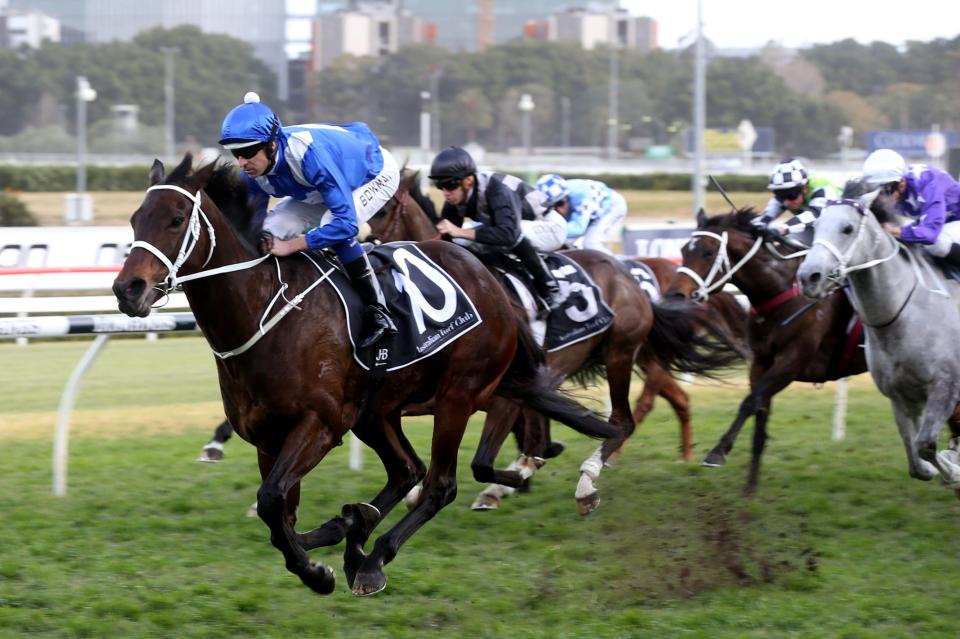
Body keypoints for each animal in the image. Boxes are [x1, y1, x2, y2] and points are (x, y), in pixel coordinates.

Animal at [114, 158, 624, 596]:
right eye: (136, 219)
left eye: (176, 218)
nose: (127, 289)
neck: (266, 311)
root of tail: (489, 280)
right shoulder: (267, 437)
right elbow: (279, 514)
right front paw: (328, 545)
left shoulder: (320, 424)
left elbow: (272, 499)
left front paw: (317, 573)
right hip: (377, 409)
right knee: (406, 470)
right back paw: (354, 529)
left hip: (458, 395)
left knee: (438, 484)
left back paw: (375, 557)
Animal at [368, 172, 744, 512]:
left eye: (383, 211)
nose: (369, 250)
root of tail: (629, 276)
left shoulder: (503, 393)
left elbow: (495, 456)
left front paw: (510, 480)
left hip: (620, 354)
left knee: (623, 419)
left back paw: (588, 480)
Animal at [664, 209, 868, 496]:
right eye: (684, 250)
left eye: (708, 251)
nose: (675, 295)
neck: (782, 292)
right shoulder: (761, 363)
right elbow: (759, 415)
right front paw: (750, 489)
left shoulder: (791, 361)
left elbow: (749, 403)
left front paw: (717, 452)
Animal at [800, 190, 960, 490]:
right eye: (814, 226)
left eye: (847, 228)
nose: (808, 277)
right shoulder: (901, 396)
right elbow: (916, 460)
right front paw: (937, 468)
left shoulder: (945, 385)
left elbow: (926, 444)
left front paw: (954, 472)